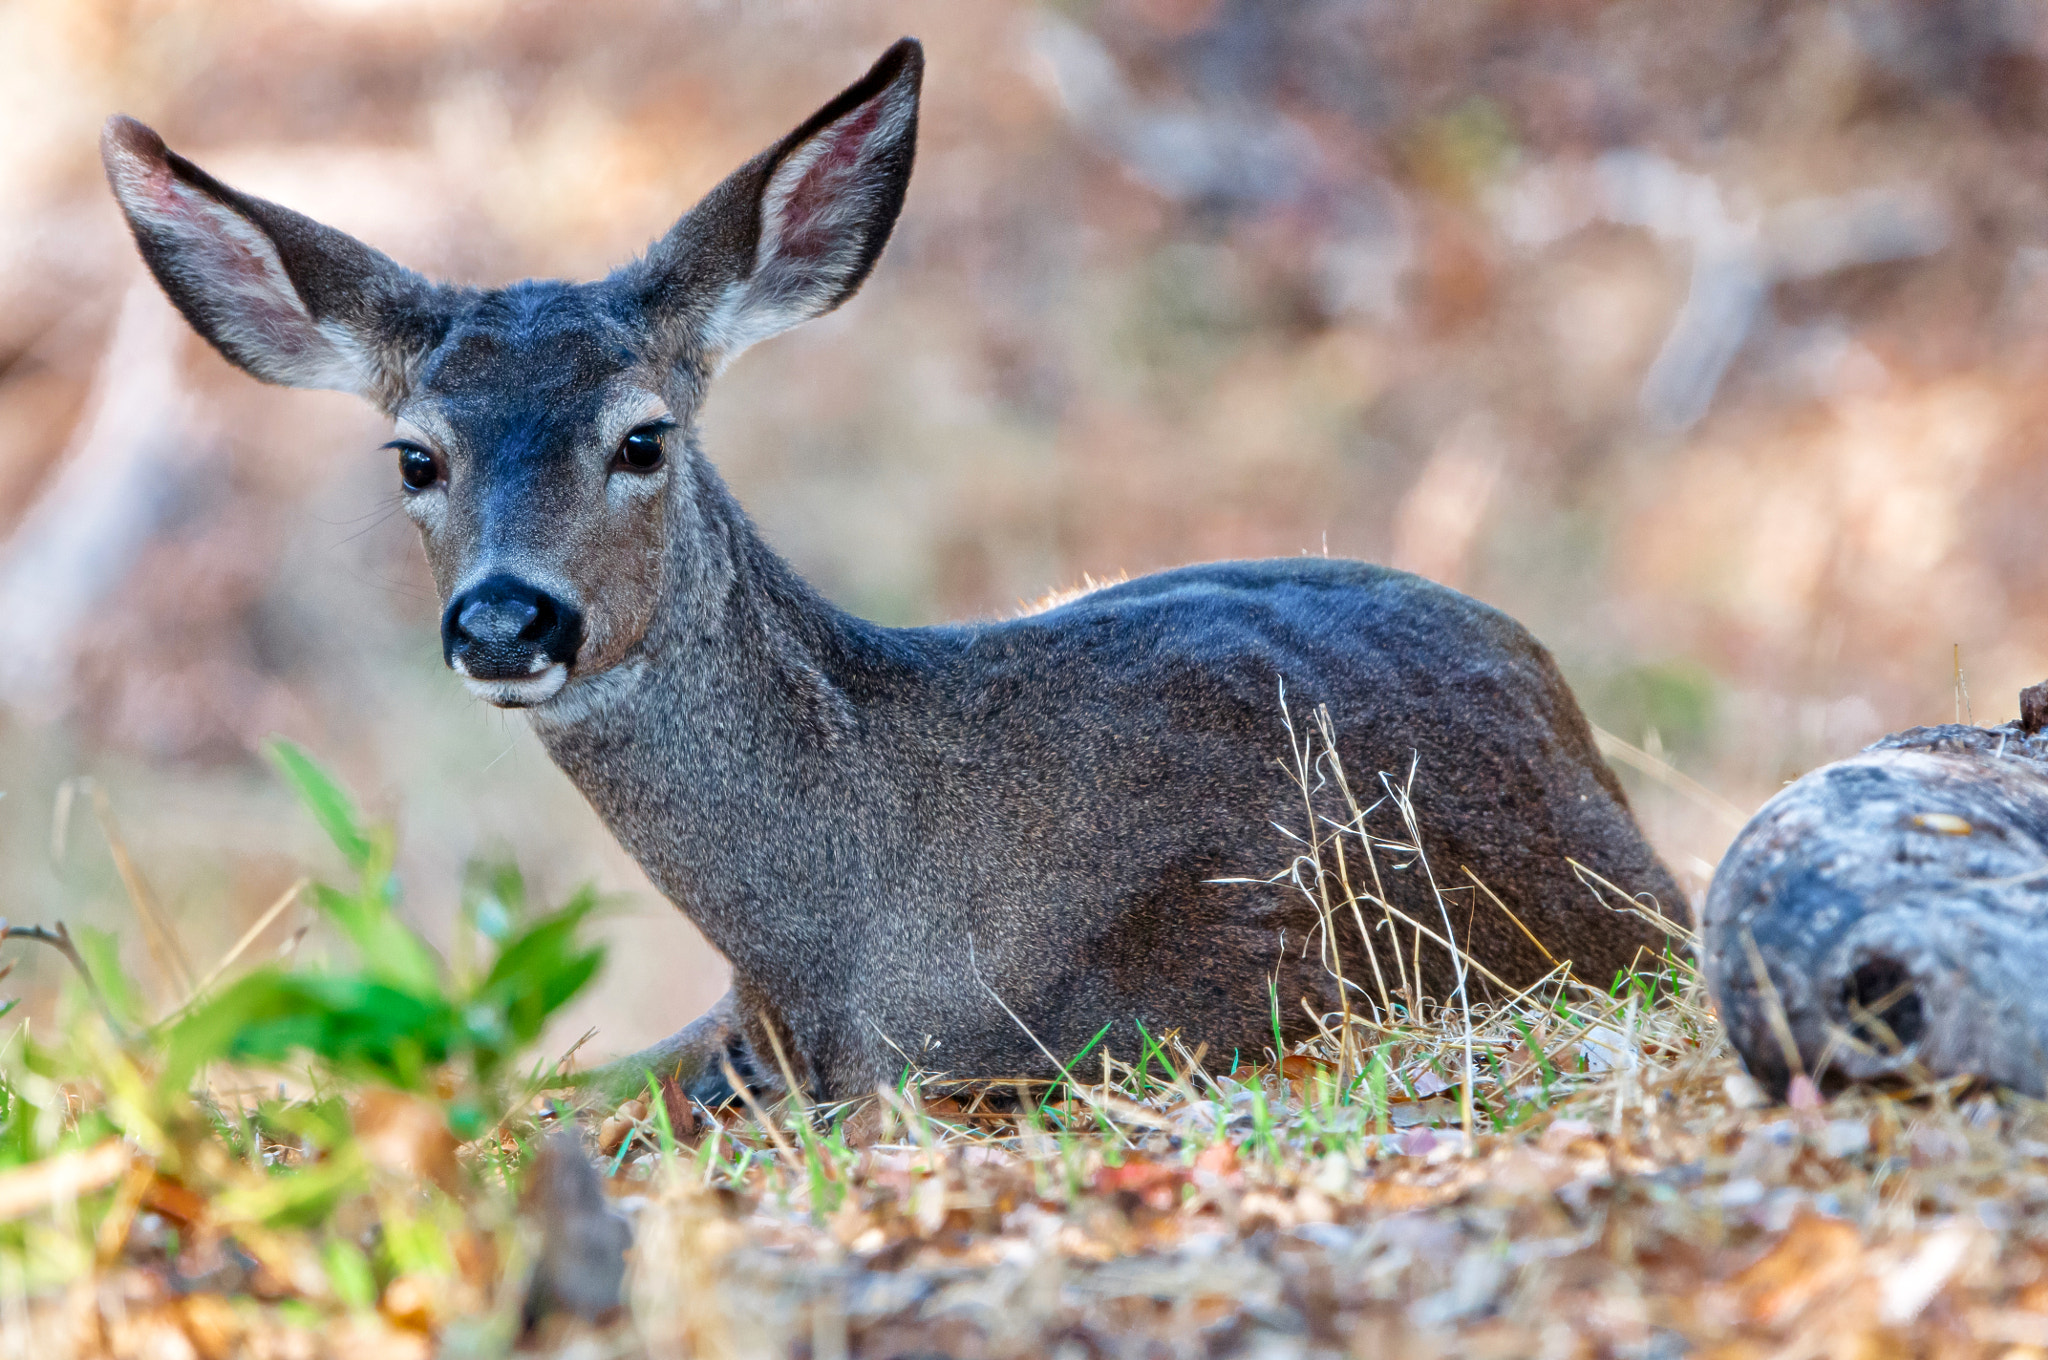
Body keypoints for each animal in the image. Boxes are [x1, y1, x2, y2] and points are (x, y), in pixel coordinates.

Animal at [101, 38, 1683, 1107]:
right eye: (414, 457)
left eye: (642, 437)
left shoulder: (1237, 967)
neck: (842, 944)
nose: (503, 618)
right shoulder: (728, 1026)